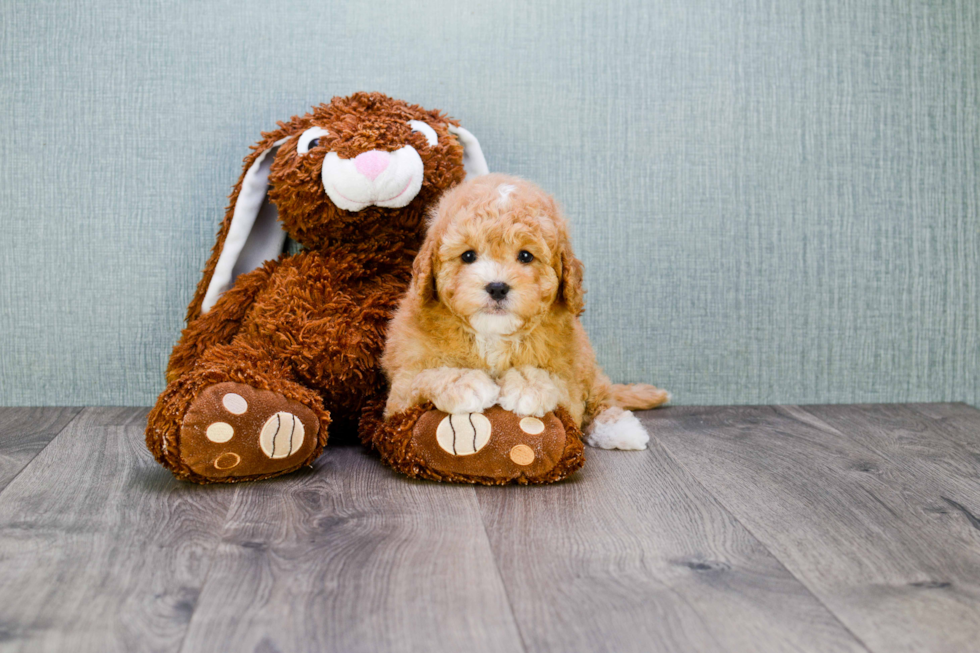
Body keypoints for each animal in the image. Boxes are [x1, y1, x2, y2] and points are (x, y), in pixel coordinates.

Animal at [380, 173, 668, 448]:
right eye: (468, 256)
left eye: (526, 256)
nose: (497, 287)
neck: (493, 335)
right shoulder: (400, 389)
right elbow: (425, 376)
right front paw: (466, 382)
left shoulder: (570, 378)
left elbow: (557, 382)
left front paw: (527, 387)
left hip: (587, 364)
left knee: (601, 393)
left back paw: (620, 428)